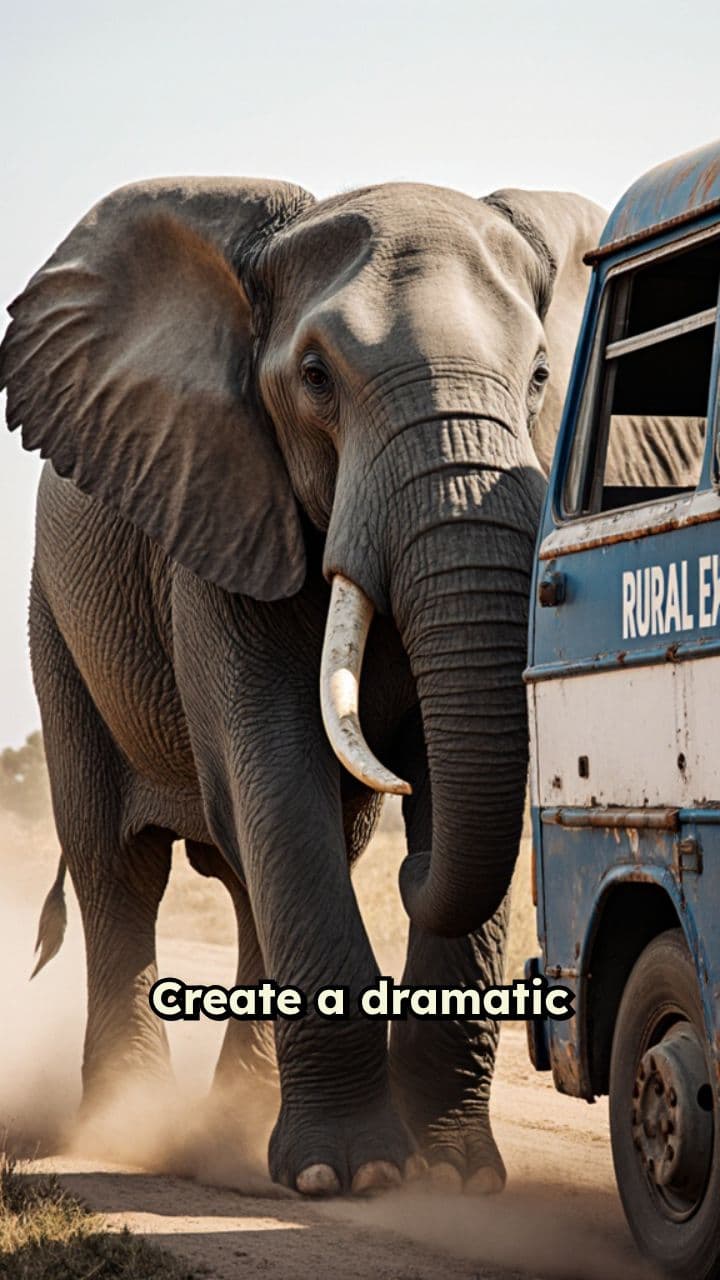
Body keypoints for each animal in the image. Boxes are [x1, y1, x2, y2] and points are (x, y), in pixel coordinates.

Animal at [0, 176, 605, 1197]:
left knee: (254, 878)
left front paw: (454, 1177)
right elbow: (275, 769)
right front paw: (351, 1175)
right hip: (59, 629)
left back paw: (233, 1120)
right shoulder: (217, 510)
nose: (412, 869)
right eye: (317, 378)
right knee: (118, 869)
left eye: (536, 379)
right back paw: (127, 1128)